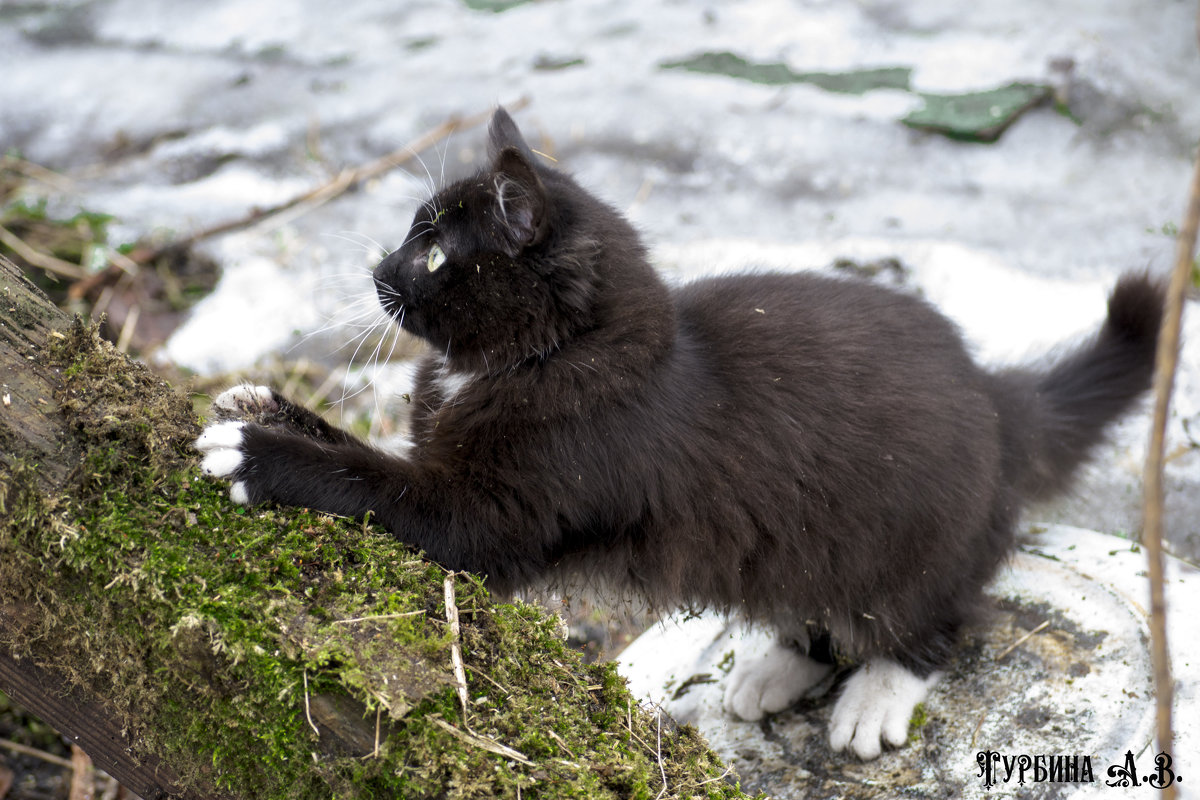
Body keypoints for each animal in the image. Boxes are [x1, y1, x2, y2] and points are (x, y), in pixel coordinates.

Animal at [196, 106, 1161, 758]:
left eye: (433, 254)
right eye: (409, 233)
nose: (376, 270)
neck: (546, 357)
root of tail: (995, 394)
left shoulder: (496, 514)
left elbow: (374, 483)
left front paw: (256, 454)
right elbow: (364, 451)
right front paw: (256, 402)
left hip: (905, 534)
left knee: (943, 613)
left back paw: (877, 697)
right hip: (797, 538)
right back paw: (773, 672)